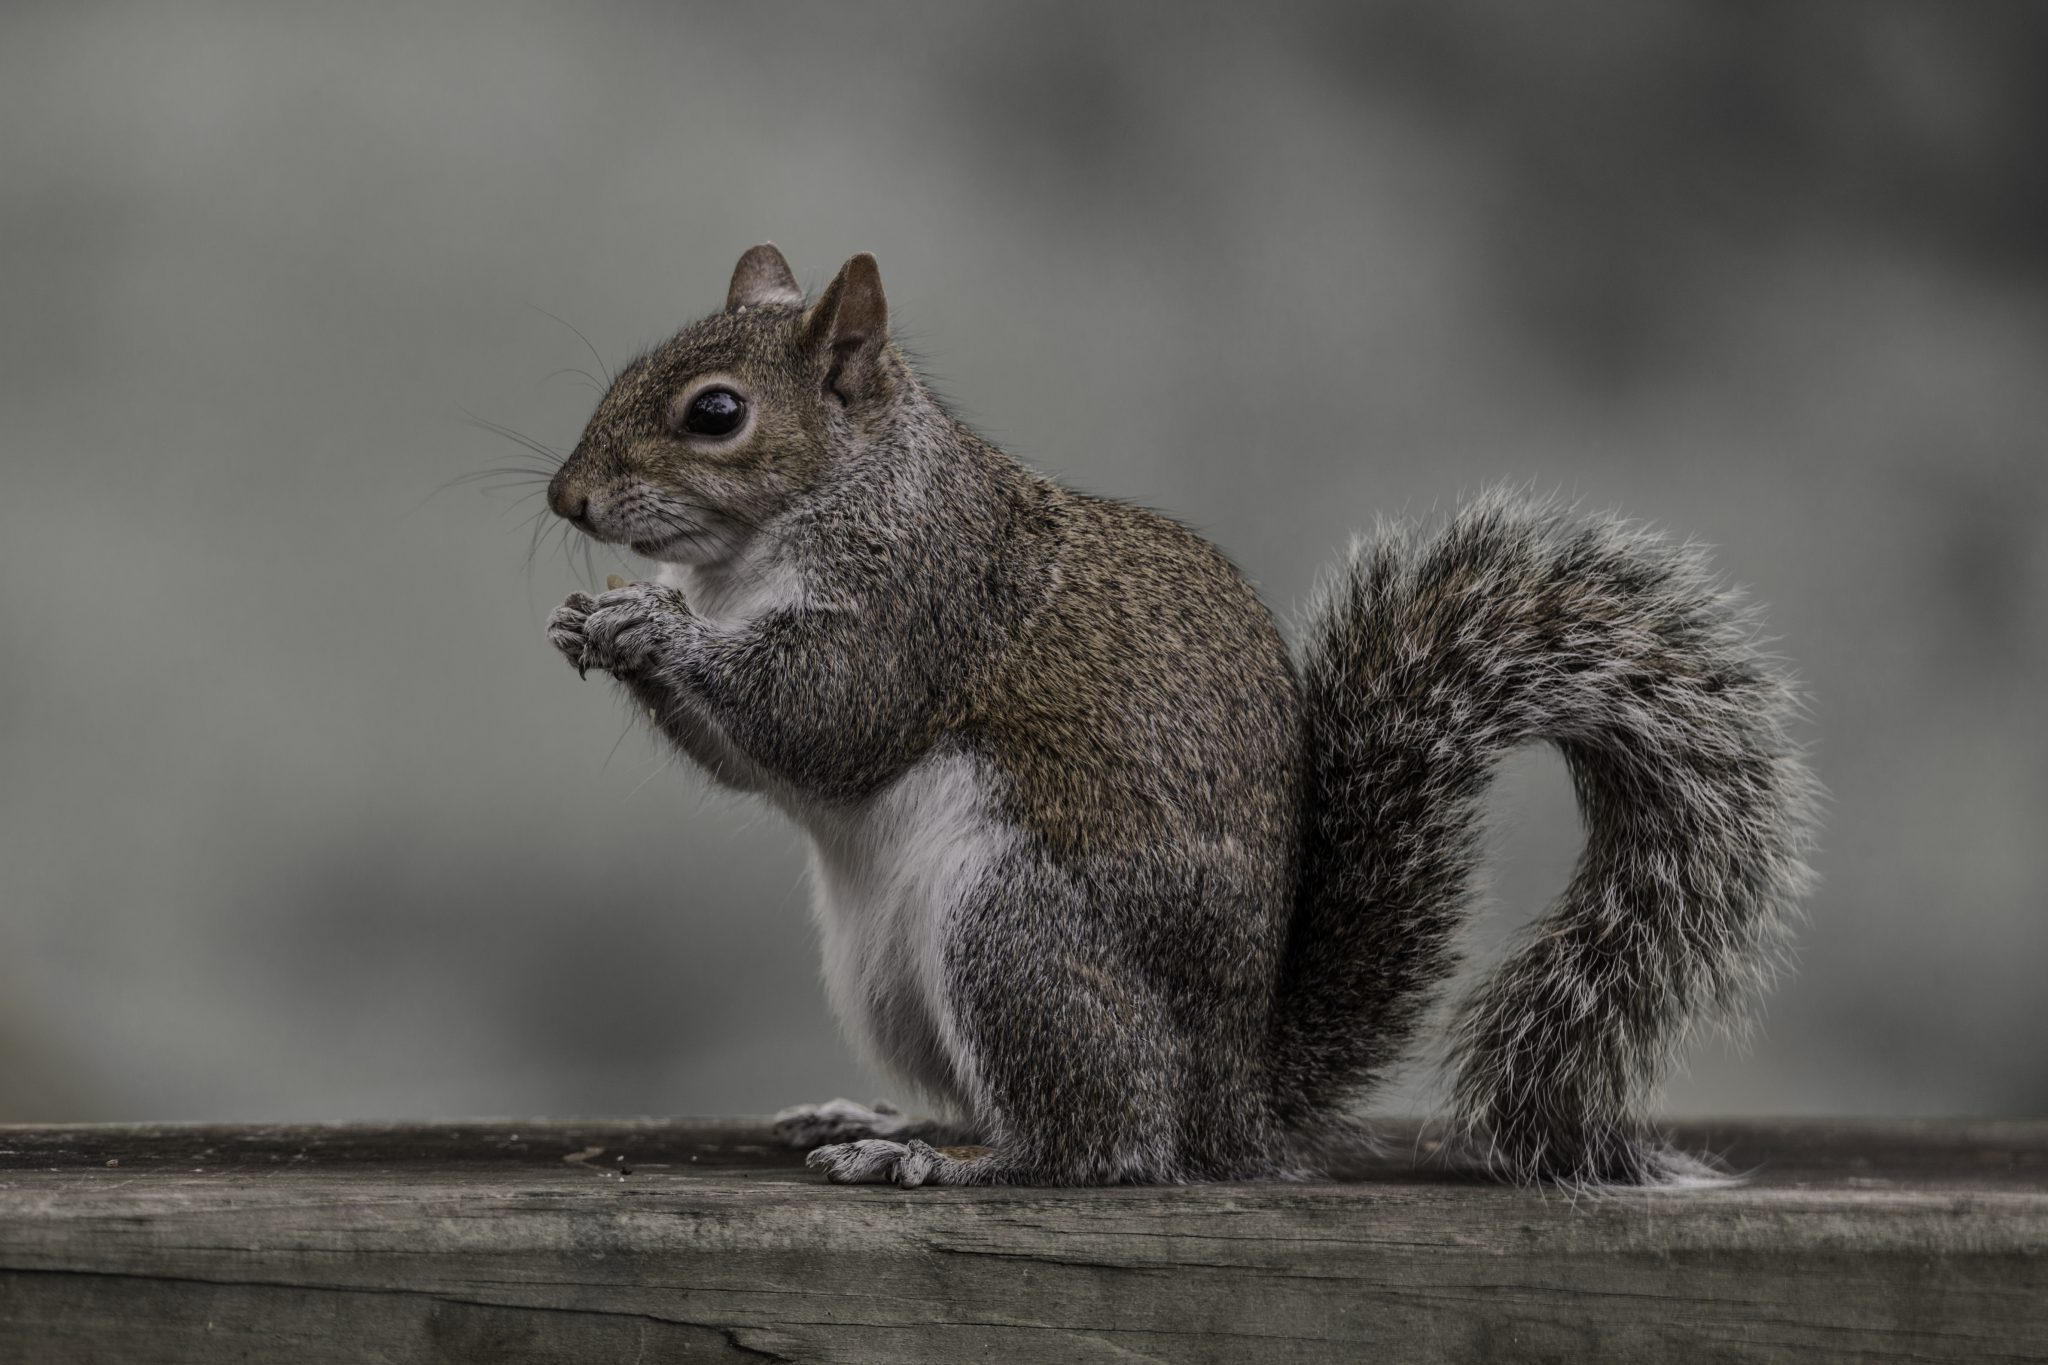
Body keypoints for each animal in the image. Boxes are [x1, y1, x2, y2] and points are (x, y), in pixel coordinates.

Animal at [548, 250, 1826, 1186]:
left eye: (716, 413)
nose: (566, 498)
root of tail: (1228, 1102)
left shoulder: (920, 609)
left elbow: (822, 718)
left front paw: (650, 628)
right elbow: (751, 761)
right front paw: (598, 623)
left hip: (1014, 935)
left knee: (1103, 1144)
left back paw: (944, 1162)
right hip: (890, 981)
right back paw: (884, 1119)